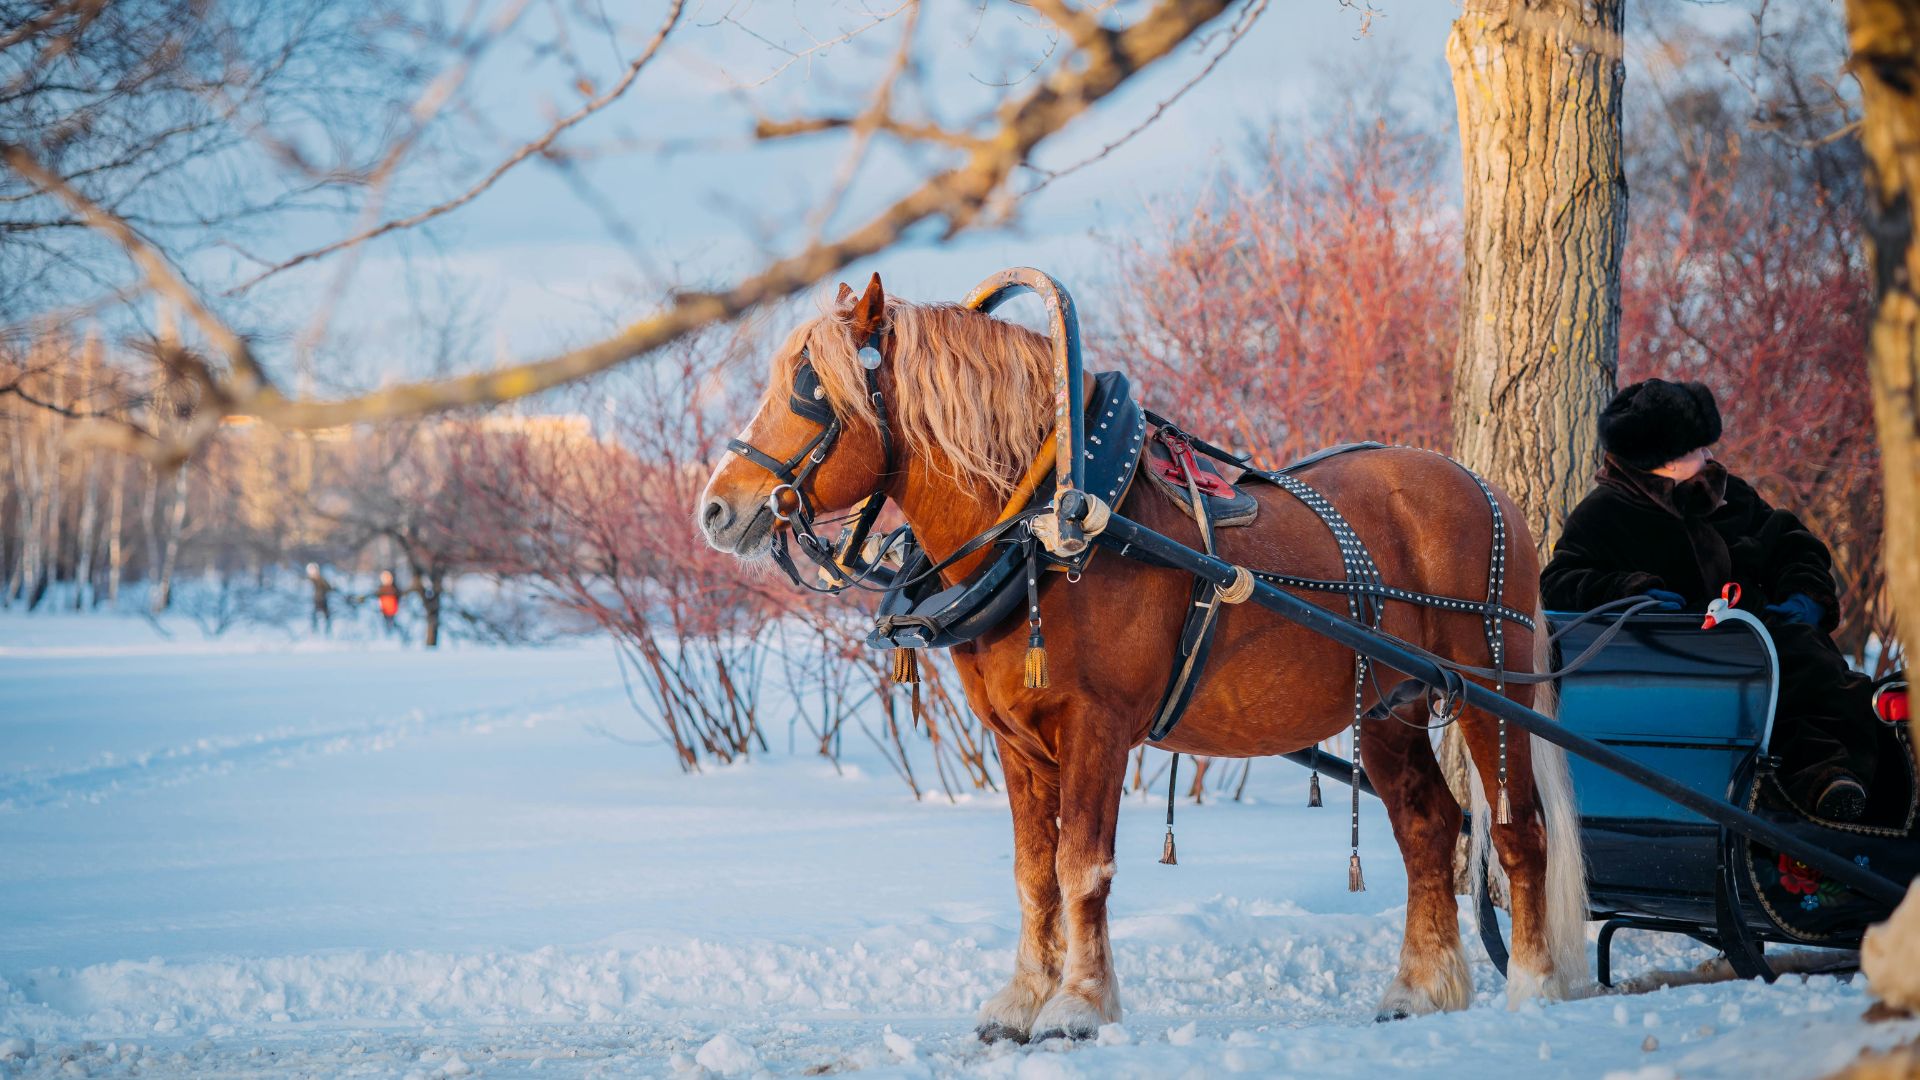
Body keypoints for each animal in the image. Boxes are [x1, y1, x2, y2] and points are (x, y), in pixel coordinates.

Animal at [697, 274, 1589, 1040]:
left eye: (811, 392)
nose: (715, 509)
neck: (1045, 529)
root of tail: (1487, 490)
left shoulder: (1095, 726)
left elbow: (1081, 867)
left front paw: (1078, 1006)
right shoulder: (1016, 743)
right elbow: (1033, 873)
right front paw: (1021, 1000)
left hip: (1489, 688)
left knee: (1517, 832)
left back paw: (1534, 989)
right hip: (1388, 707)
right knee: (1429, 830)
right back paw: (1419, 990)